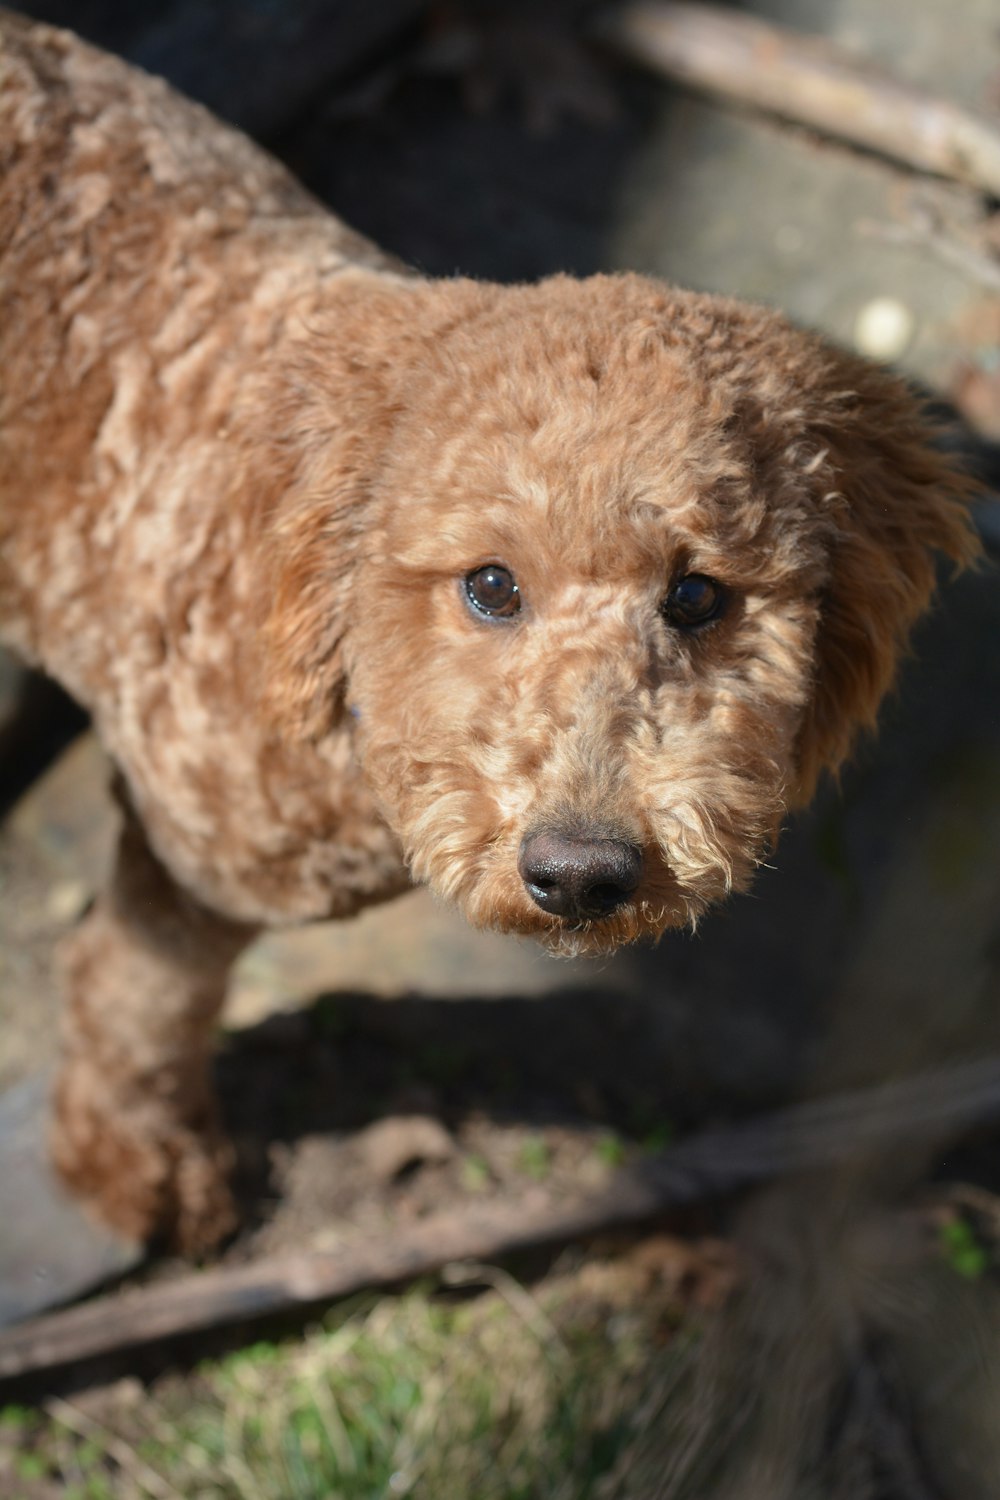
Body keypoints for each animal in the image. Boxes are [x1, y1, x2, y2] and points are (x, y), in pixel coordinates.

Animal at [0, 17, 977, 1248]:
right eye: (491, 586)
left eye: (697, 596)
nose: (582, 874)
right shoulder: (200, 852)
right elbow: (138, 987)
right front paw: (137, 1163)